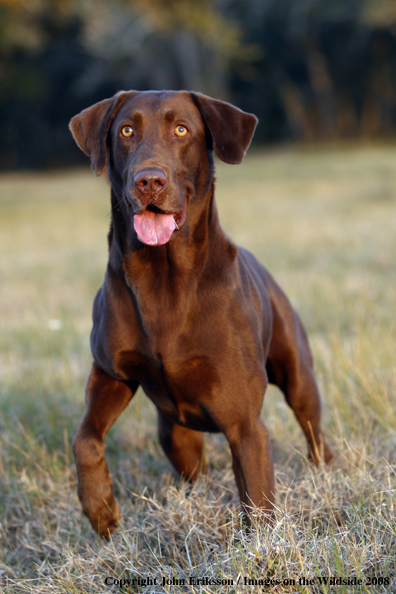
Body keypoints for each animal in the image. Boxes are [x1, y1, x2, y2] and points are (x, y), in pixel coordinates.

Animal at [69, 89, 332, 536]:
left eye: (181, 130)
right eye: (126, 131)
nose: (149, 181)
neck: (163, 279)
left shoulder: (245, 425)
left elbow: (259, 505)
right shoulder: (110, 372)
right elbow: (85, 438)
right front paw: (100, 510)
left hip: (299, 377)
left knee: (314, 431)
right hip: (173, 433)